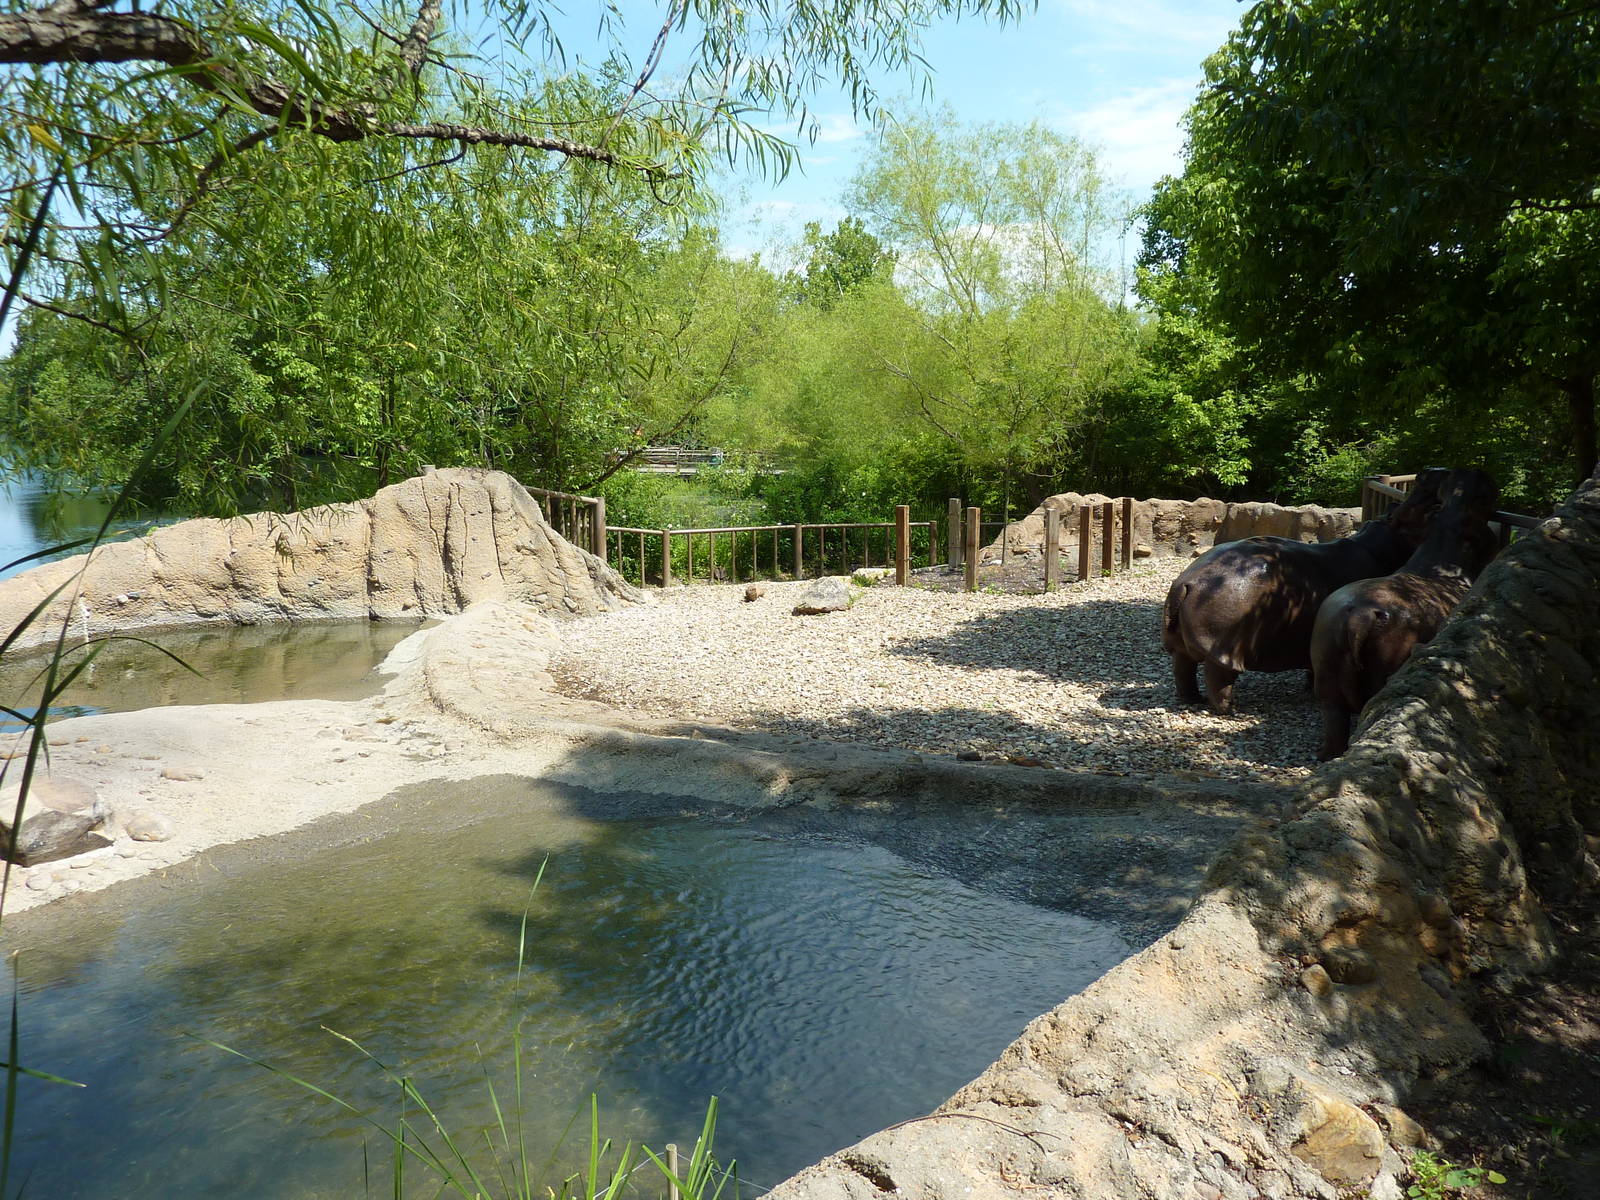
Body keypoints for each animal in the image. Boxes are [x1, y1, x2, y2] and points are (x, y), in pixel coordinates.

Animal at [1163, 468, 1448, 714]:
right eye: (1417, 513)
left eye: (1399, 507)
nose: (1434, 475)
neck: (1384, 544)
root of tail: (1186, 583)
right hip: (1223, 650)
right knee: (1219, 680)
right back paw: (1230, 709)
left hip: (1180, 643)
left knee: (1183, 668)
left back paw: (1193, 699)